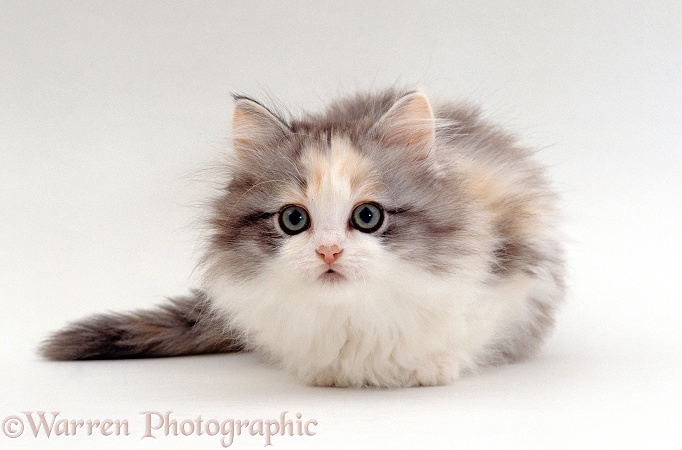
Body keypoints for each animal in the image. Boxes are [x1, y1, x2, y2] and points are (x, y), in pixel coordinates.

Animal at [39, 88, 564, 386]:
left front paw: (430, 370)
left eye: (367, 216)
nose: (328, 250)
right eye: (293, 220)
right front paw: (325, 374)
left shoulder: (516, 269)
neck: (352, 316)